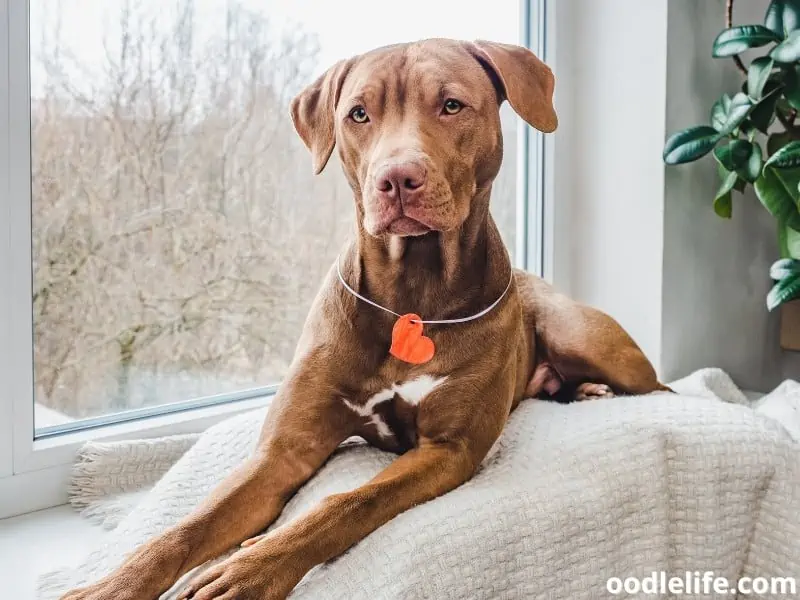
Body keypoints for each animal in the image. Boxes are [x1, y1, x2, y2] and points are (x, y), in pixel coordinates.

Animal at [61, 38, 664, 600]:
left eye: (451, 105)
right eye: (358, 114)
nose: (397, 179)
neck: (411, 297)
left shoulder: (447, 450)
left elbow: (345, 502)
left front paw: (251, 567)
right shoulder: (282, 451)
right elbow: (187, 527)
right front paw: (112, 585)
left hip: (582, 336)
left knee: (659, 389)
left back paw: (593, 389)